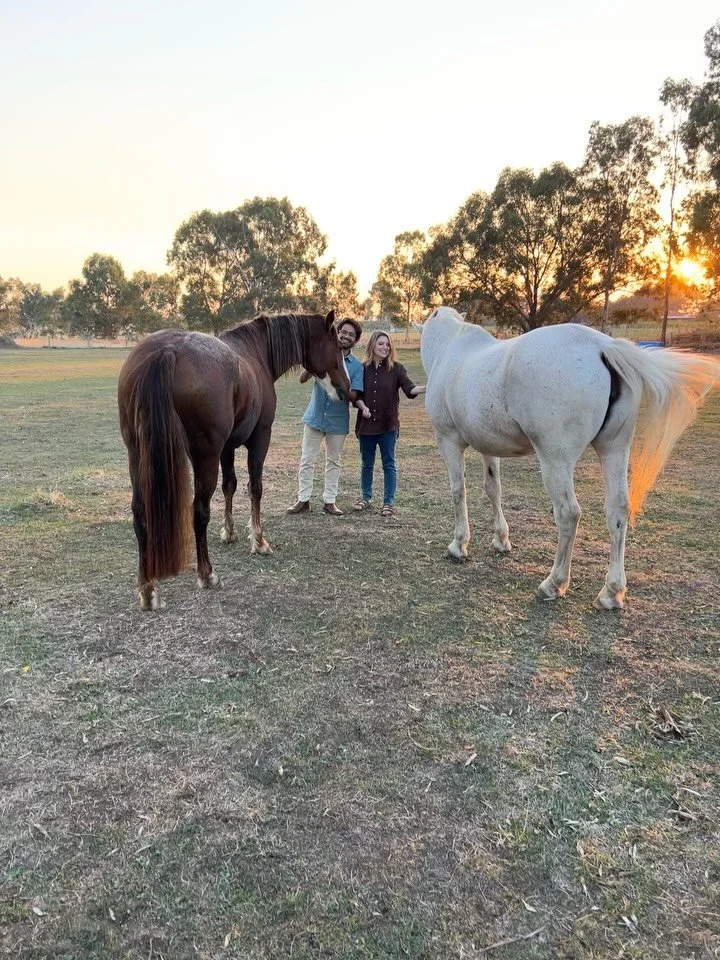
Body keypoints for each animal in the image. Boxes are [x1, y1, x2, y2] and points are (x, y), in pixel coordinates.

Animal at [118, 310, 350, 610]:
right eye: (338, 347)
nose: (347, 390)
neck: (256, 352)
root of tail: (167, 351)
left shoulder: (226, 448)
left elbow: (230, 485)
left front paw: (229, 531)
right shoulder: (260, 439)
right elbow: (255, 488)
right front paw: (259, 541)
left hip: (137, 454)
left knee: (140, 513)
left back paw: (147, 589)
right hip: (204, 457)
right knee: (199, 510)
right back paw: (206, 574)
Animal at [419, 306, 720, 609]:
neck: (450, 348)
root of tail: (603, 347)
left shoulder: (448, 441)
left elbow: (458, 491)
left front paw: (459, 545)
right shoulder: (489, 447)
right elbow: (493, 490)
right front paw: (501, 540)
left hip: (556, 460)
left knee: (568, 513)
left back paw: (554, 583)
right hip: (614, 451)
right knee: (618, 509)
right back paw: (611, 592)